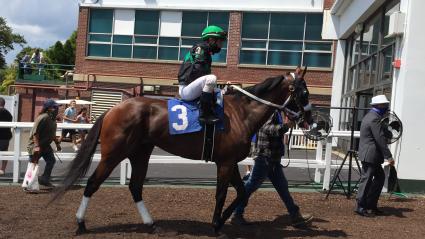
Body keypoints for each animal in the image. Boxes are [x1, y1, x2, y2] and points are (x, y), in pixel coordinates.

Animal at [52, 72, 312, 234]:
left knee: (135, 187)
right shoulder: (225, 163)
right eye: (304, 94)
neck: (241, 113)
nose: (310, 119)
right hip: (113, 154)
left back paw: (151, 224)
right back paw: (81, 223)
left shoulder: (230, 162)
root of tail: (112, 109)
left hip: (140, 153)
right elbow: (222, 194)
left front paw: (222, 220)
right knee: (92, 183)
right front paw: (216, 223)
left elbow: (241, 192)